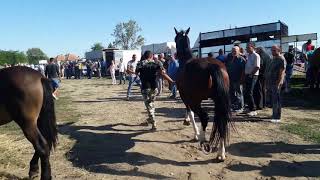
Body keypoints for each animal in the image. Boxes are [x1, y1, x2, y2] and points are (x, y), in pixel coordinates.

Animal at [174, 27, 231, 160]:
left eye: (175, 39)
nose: (175, 55)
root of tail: (212, 66)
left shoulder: (186, 98)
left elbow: (190, 113)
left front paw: (195, 132)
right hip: (219, 101)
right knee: (222, 122)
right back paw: (221, 153)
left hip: (195, 101)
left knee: (204, 117)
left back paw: (202, 139)